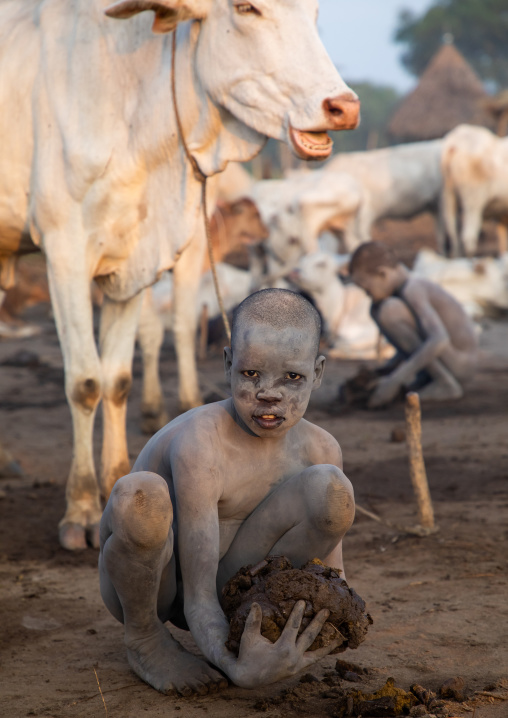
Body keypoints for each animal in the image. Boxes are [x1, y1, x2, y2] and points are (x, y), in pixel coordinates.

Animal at [0, 0, 359, 549]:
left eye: (315, 13)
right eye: (247, 8)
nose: (343, 106)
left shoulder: (130, 267)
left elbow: (117, 379)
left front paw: (115, 482)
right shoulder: (65, 250)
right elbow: (85, 381)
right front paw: (80, 509)